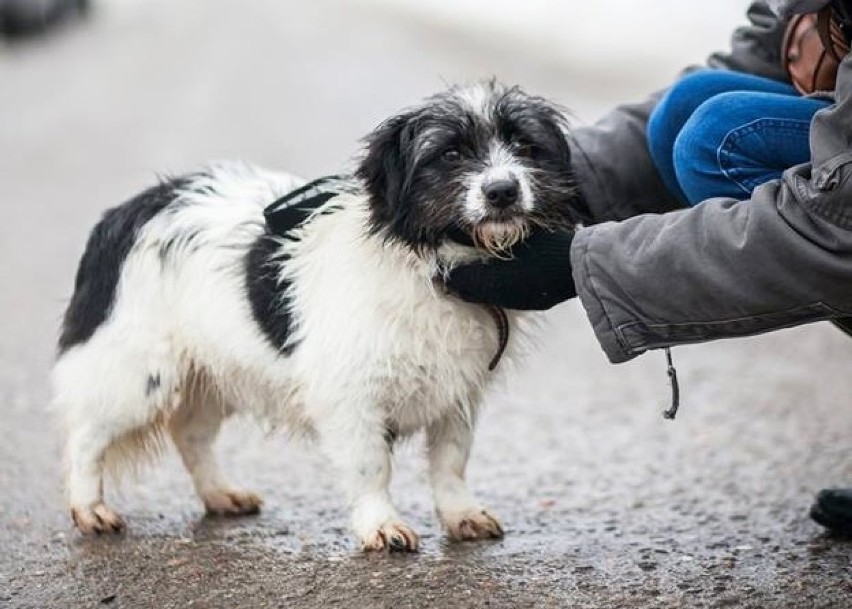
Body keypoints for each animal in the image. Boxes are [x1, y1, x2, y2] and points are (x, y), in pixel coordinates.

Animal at [50, 81, 584, 552]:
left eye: (524, 145)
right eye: (449, 154)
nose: (503, 191)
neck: (430, 264)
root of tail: (128, 211)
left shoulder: (457, 395)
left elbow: (451, 463)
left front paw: (461, 515)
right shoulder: (351, 397)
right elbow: (372, 467)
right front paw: (381, 525)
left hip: (213, 370)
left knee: (191, 434)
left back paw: (220, 493)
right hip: (136, 375)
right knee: (85, 437)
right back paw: (89, 508)